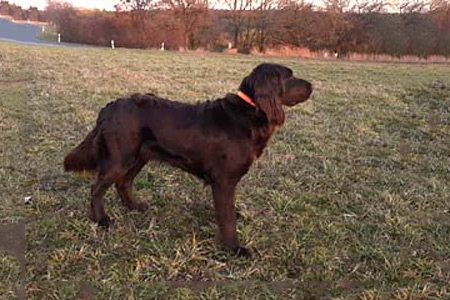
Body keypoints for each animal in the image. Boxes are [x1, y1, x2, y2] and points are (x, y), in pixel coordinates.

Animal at [64, 62, 312, 255]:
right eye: (290, 76)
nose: (312, 86)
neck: (249, 110)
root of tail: (108, 107)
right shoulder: (223, 180)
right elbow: (227, 218)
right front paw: (234, 249)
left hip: (139, 156)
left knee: (123, 183)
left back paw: (135, 207)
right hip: (120, 158)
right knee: (97, 187)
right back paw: (101, 219)